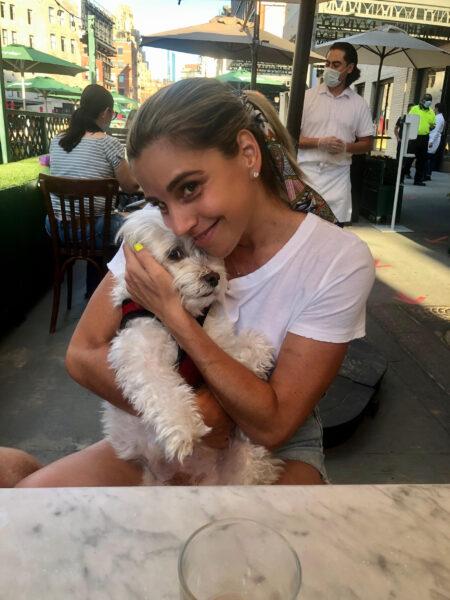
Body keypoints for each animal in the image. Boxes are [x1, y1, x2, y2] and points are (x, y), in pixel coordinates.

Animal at [103, 209, 284, 486]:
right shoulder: (141, 353)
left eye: (205, 249)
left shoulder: (209, 341)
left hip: (243, 460)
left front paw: (256, 351)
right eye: (175, 253)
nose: (214, 277)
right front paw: (184, 429)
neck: (185, 317)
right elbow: (163, 390)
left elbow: (227, 351)